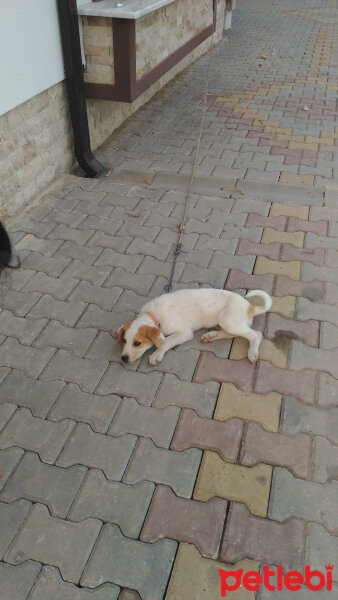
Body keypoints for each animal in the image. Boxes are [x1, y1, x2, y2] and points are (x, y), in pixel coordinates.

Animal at [116, 288, 272, 366]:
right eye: (124, 341)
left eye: (137, 343)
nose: (123, 358)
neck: (154, 316)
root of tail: (249, 306)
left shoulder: (185, 332)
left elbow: (167, 341)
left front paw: (157, 354)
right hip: (227, 321)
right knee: (233, 333)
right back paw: (211, 336)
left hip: (227, 319)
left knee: (255, 334)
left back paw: (252, 352)